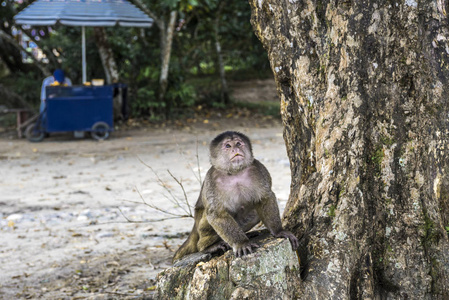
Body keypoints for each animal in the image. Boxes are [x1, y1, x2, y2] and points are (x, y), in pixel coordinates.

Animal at [173, 131, 300, 262]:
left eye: (238, 143)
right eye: (228, 146)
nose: (236, 149)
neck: (235, 173)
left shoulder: (259, 169)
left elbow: (265, 198)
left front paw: (278, 231)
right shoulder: (211, 179)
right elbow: (216, 214)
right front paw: (241, 243)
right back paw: (207, 246)